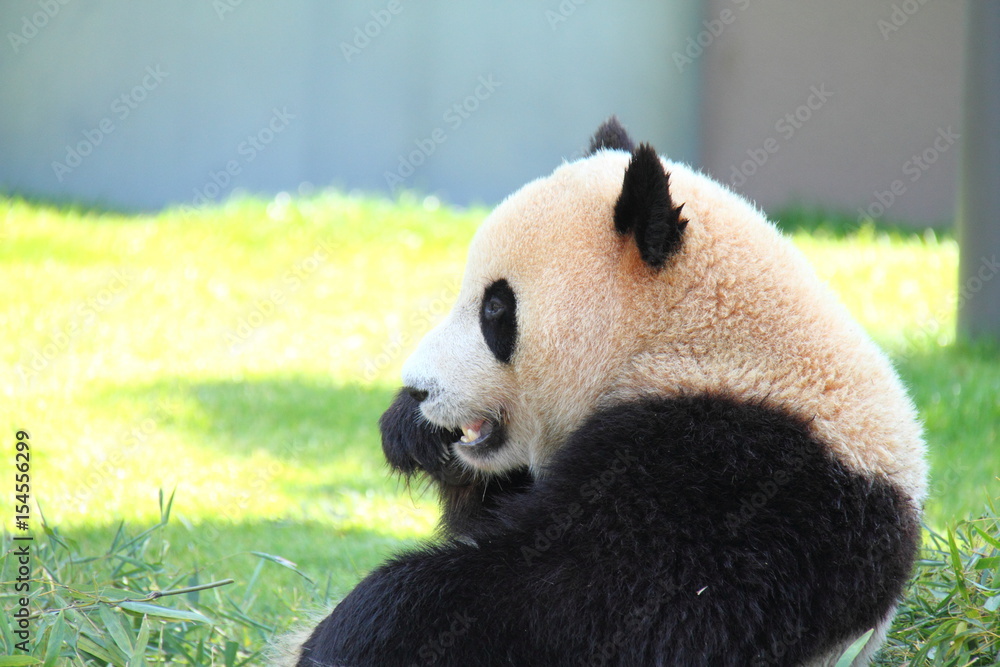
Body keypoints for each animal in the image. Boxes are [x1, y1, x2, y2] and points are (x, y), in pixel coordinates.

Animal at [289, 118, 927, 666]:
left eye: (496, 309)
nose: (420, 390)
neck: (690, 337)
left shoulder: (744, 476)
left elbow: (600, 605)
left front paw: (347, 639)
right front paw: (410, 433)